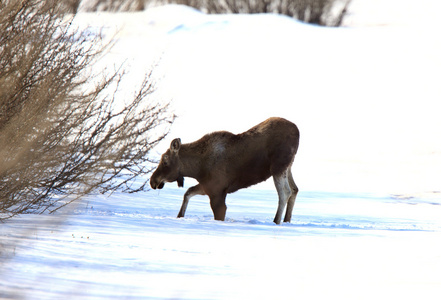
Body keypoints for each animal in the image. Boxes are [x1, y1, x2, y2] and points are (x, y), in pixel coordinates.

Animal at [149, 116, 300, 224]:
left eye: (165, 161)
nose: (152, 181)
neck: (197, 168)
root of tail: (298, 131)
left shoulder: (217, 193)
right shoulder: (208, 187)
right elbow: (188, 193)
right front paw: (180, 216)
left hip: (278, 167)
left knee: (285, 192)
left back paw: (276, 221)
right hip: (288, 166)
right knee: (294, 189)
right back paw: (286, 221)